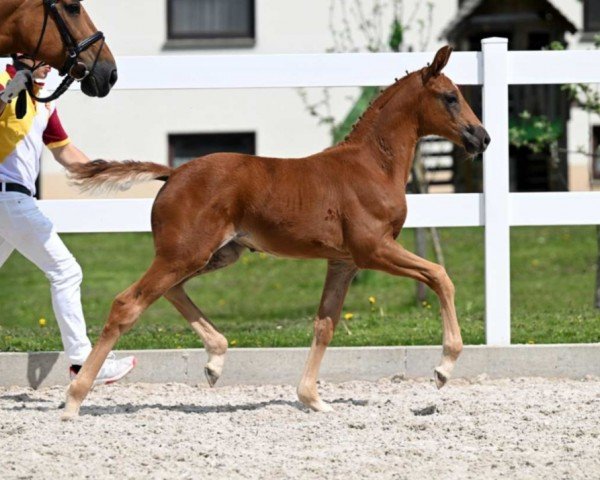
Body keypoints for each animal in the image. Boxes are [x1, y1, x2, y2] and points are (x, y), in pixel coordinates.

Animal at [63, 46, 490, 420]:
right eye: (451, 97)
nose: (482, 137)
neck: (371, 166)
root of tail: (174, 172)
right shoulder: (373, 249)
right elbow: (440, 276)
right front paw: (444, 368)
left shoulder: (344, 262)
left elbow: (325, 325)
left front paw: (312, 398)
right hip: (184, 254)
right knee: (127, 304)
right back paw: (73, 400)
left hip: (213, 254)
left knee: (170, 290)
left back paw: (215, 361)